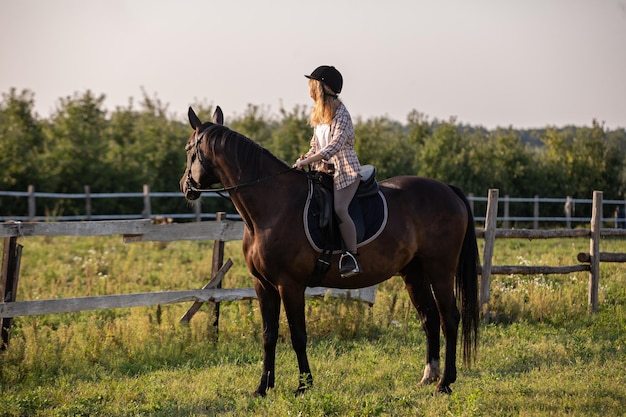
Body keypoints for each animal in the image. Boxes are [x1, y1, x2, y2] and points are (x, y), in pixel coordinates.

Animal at [178, 105, 480, 394]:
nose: (185, 186)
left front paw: (304, 386)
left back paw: (445, 383)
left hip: (440, 270)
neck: (271, 207)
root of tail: (448, 190)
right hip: (414, 273)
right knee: (429, 318)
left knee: (449, 318)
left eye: (189, 149)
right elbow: (268, 335)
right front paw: (263, 387)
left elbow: (298, 336)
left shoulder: (290, 284)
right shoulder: (262, 284)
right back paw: (429, 377)